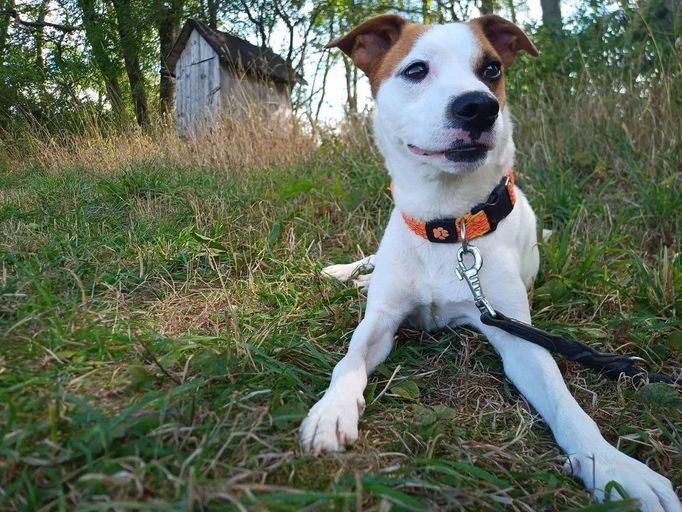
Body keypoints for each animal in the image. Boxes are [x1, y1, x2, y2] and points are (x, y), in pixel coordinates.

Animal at [298, 14, 680, 510]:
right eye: (416, 70)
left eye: (492, 69)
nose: (479, 107)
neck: (449, 227)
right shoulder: (380, 320)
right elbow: (350, 360)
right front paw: (332, 409)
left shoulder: (517, 335)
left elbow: (566, 404)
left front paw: (613, 467)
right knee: (373, 259)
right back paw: (347, 274)